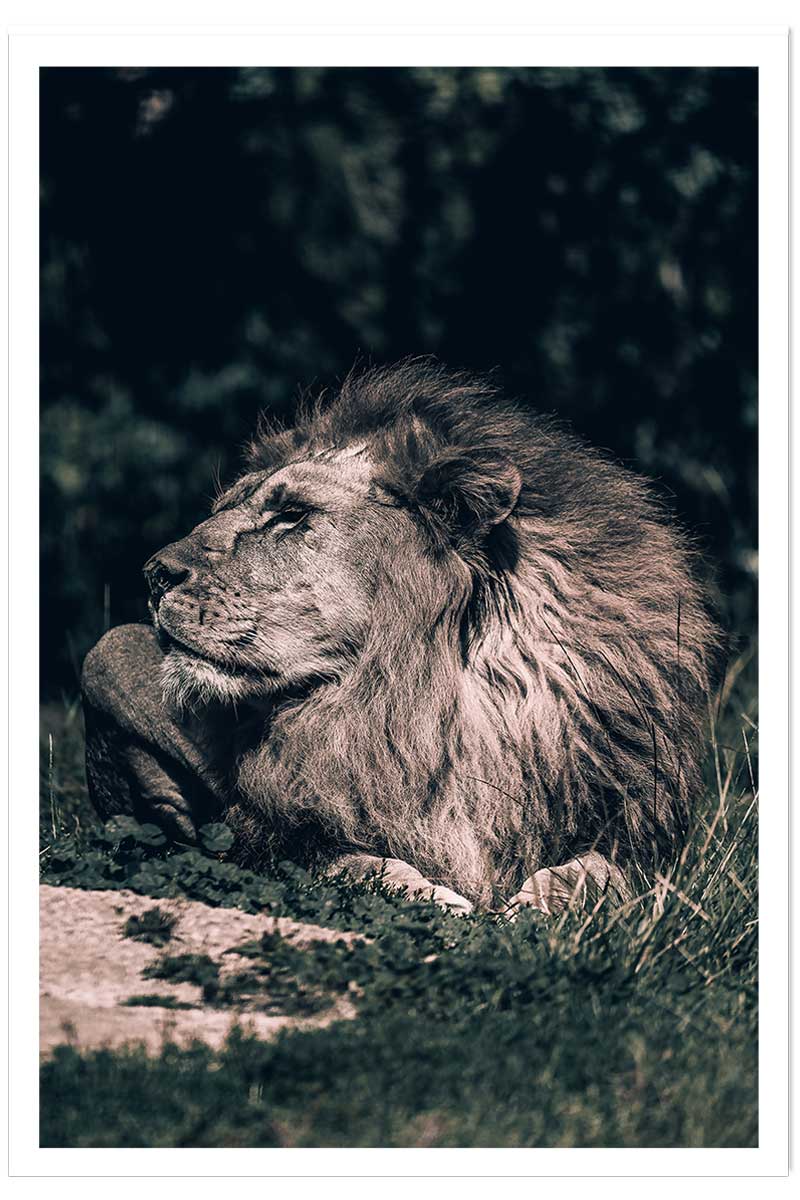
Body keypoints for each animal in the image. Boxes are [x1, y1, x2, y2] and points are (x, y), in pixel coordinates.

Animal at [81, 360, 720, 915]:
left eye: (291, 515)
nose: (153, 573)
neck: (424, 703)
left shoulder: (639, 830)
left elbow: (601, 872)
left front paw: (538, 905)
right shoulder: (276, 835)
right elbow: (358, 864)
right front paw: (441, 900)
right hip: (104, 655)